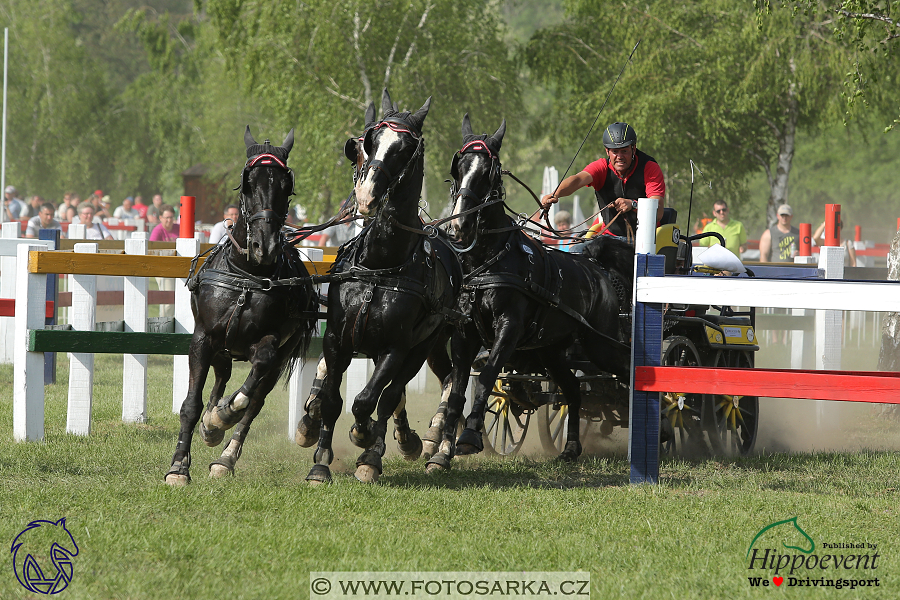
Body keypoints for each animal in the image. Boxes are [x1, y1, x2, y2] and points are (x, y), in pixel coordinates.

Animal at [166, 129, 320, 486]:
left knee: (253, 402)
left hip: (275, 358)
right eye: (248, 183)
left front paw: (224, 415)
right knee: (221, 376)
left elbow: (250, 389)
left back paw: (225, 453)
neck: (247, 276)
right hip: (221, 347)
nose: (266, 246)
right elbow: (191, 405)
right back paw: (211, 425)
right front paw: (179, 466)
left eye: (286, 185)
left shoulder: (271, 346)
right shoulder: (203, 338)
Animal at [310, 88, 464, 482]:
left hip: (422, 347)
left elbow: (367, 400)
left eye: (404, 149)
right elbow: (332, 400)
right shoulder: (336, 339)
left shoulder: (398, 347)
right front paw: (320, 462)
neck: (379, 265)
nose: (366, 196)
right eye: (371, 140)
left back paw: (385, 447)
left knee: (394, 394)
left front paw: (365, 441)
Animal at [428, 115, 632, 472]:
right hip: (552, 351)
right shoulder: (465, 334)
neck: (488, 262)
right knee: (574, 390)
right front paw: (443, 451)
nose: (460, 227)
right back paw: (571, 447)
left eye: (488, 171)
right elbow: (457, 387)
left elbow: (487, 376)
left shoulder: (509, 328)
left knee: (631, 372)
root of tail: (598, 268)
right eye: (459, 168)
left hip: (601, 345)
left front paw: (470, 436)